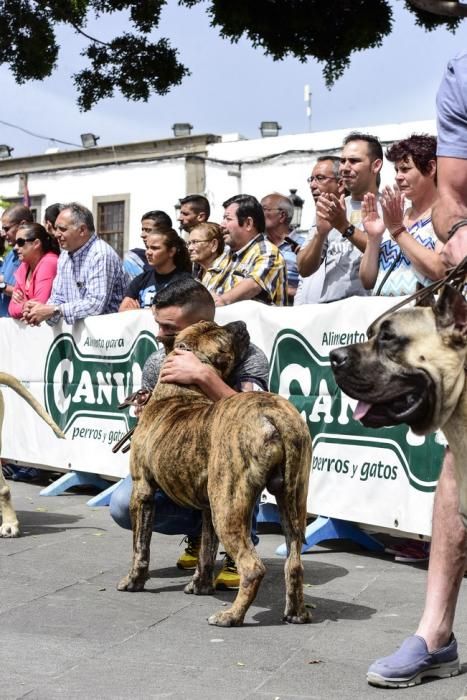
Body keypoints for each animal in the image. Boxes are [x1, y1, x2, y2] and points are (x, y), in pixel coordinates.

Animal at [118, 320, 314, 628]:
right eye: (215, 328)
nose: (241, 323)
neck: (179, 392)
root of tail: (273, 414)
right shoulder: (208, 506)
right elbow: (207, 550)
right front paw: (200, 585)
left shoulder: (143, 492)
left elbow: (140, 547)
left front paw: (133, 581)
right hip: (290, 500)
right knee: (294, 562)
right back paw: (296, 612)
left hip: (229, 507)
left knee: (253, 567)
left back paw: (231, 616)